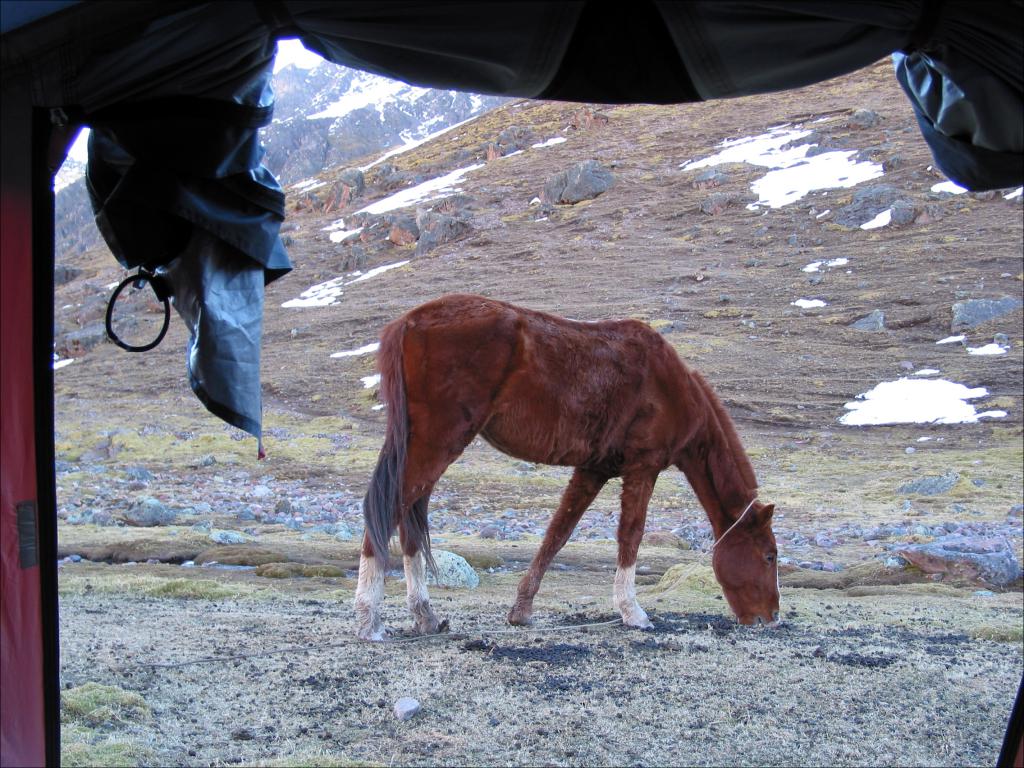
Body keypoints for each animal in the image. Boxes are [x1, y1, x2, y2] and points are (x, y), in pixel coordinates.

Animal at [356, 296, 778, 643]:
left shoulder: (592, 471)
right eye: (770, 556)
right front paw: (633, 612)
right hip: (437, 444)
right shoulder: (643, 467)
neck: (671, 387)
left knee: (409, 520)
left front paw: (521, 610)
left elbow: (557, 534)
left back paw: (424, 617)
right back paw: (369, 621)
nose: (771, 617)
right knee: (388, 509)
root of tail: (408, 322)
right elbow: (631, 535)